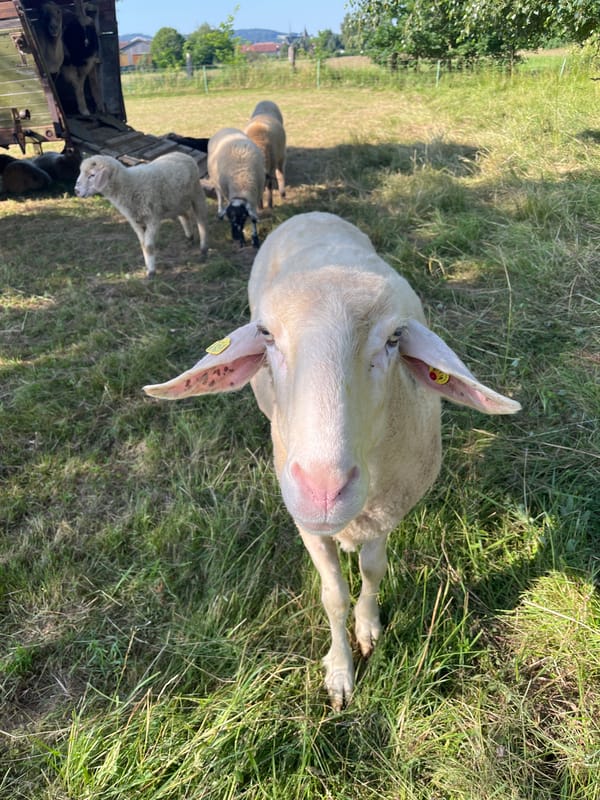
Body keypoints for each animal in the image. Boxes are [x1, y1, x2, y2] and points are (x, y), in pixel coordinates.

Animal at [75, 152, 208, 277]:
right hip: (175, 202)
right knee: (185, 215)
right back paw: (190, 237)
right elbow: (143, 245)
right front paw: (149, 268)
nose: (76, 191)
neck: (130, 185)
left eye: (92, 175)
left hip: (196, 193)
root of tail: (181, 154)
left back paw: (203, 249)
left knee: (201, 221)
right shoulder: (136, 222)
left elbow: (148, 246)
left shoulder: (153, 218)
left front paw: (152, 272)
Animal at [143, 212, 521, 710]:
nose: (324, 490)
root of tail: (311, 213)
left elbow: (373, 571)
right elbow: (333, 596)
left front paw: (369, 628)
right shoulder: (307, 524)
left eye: (394, 339)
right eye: (266, 335)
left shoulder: (386, 511)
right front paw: (340, 672)